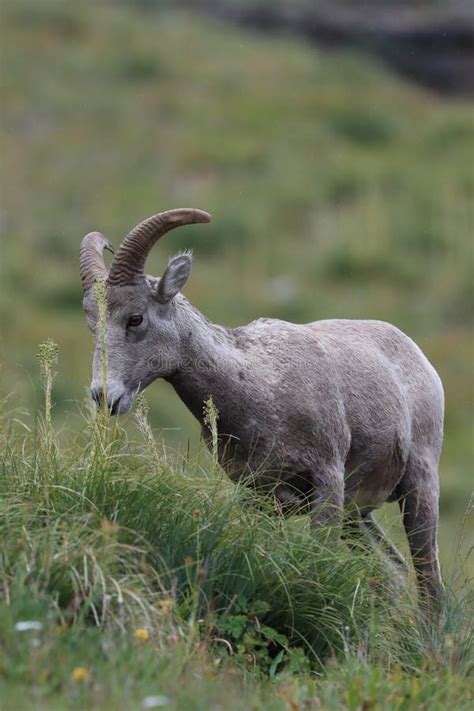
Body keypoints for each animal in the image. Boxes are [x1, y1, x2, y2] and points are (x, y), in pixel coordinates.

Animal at [80, 209, 444, 608]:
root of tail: (419, 358)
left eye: (135, 318)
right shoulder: (260, 497)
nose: (104, 395)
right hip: (358, 515)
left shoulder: (327, 484)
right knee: (393, 572)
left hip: (418, 489)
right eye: (92, 324)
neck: (260, 390)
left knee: (430, 586)